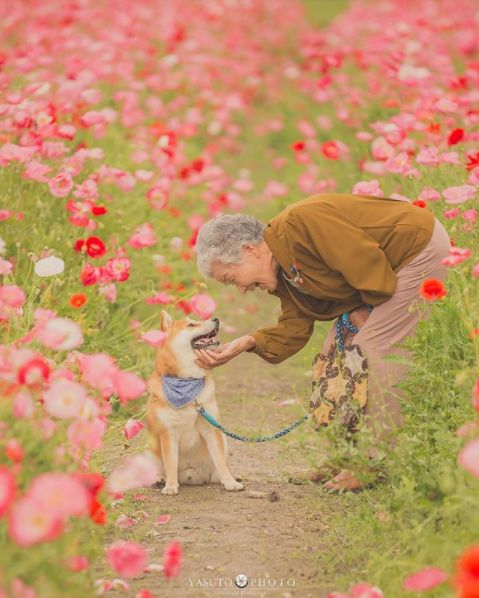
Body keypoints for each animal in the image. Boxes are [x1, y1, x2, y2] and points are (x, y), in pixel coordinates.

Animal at [145, 310, 244, 496]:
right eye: (191, 325)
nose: (216, 318)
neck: (187, 382)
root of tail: (194, 476)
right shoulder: (168, 433)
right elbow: (170, 463)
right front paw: (170, 485)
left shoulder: (211, 430)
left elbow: (220, 460)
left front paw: (230, 482)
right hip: (150, 449)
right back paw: (159, 479)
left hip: (223, 440)